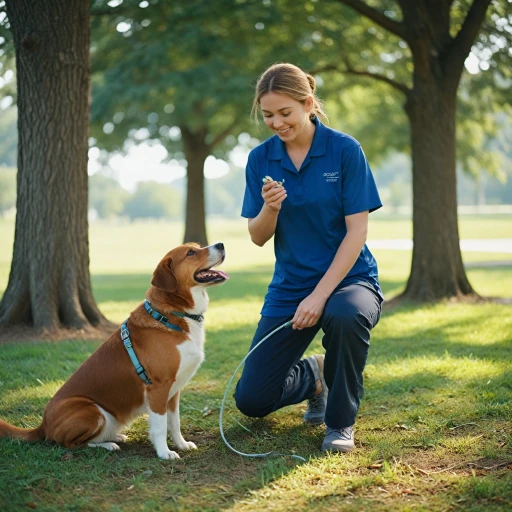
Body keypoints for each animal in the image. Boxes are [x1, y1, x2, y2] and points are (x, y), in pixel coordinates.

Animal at [0, 241, 228, 460]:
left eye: (197, 246)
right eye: (190, 253)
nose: (221, 244)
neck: (171, 315)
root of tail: (42, 426)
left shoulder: (174, 391)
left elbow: (175, 422)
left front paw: (181, 444)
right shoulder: (159, 388)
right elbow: (161, 426)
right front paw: (164, 453)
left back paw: (114, 436)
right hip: (92, 410)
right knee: (71, 444)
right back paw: (108, 445)